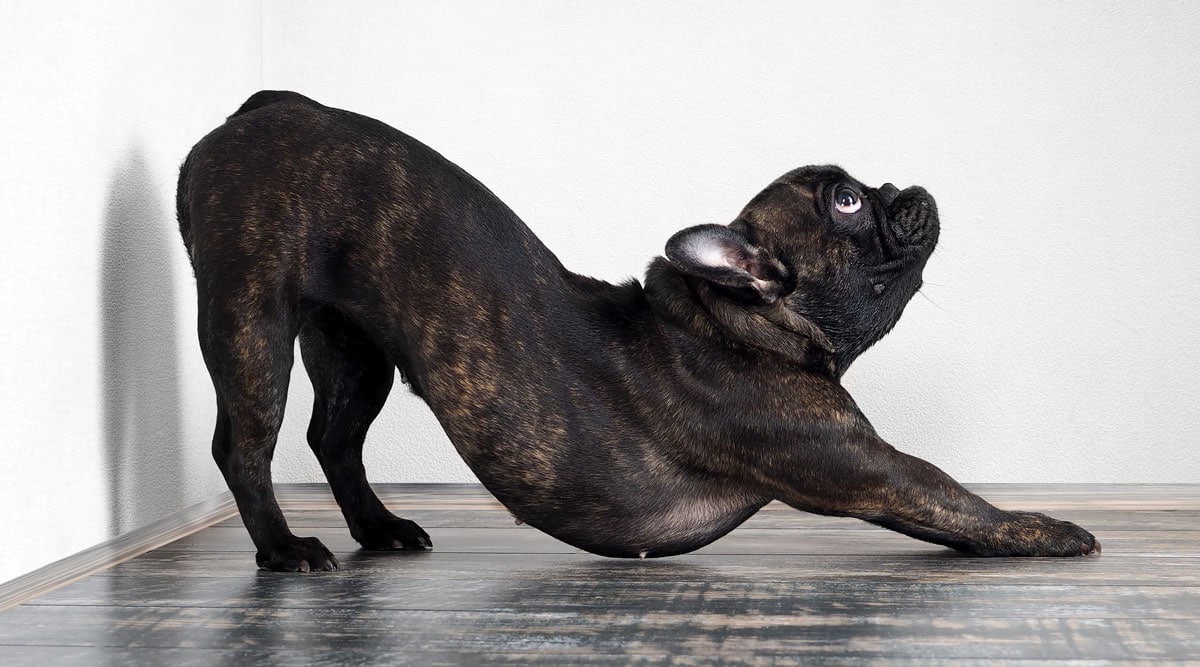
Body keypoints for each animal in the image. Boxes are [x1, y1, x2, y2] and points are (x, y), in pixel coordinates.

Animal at [174, 91, 1099, 571]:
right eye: (844, 201)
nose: (906, 185)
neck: (739, 324)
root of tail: (262, 110)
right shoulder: (864, 465)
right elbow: (950, 493)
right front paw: (1051, 529)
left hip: (353, 346)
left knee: (334, 437)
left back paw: (379, 528)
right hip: (251, 318)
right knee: (246, 445)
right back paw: (284, 548)